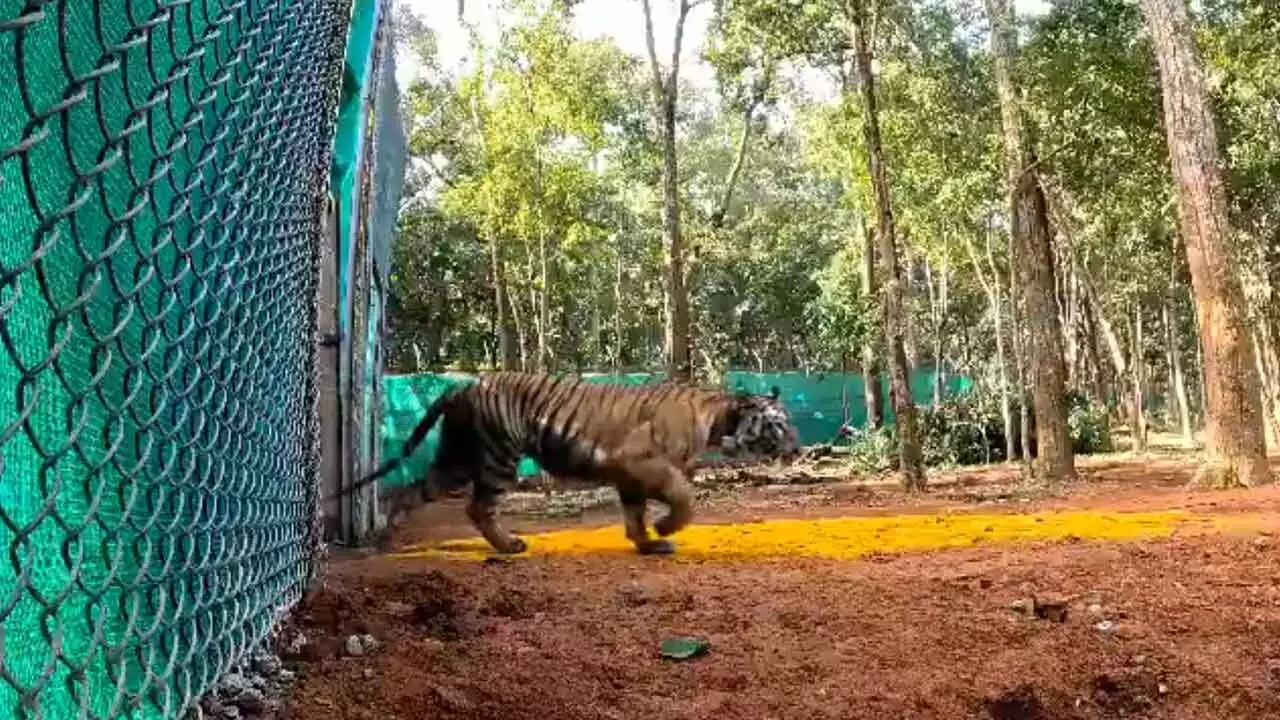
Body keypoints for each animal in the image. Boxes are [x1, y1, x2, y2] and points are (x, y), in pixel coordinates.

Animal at [355, 368, 798, 556]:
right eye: (779, 424)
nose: (798, 449)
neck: (719, 420)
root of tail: (465, 384)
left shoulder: (629, 475)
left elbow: (634, 512)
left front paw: (647, 543)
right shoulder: (642, 460)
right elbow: (683, 496)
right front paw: (664, 527)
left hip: (458, 457)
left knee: (416, 489)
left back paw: (386, 538)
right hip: (498, 455)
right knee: (477, 506)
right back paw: (509, 545)